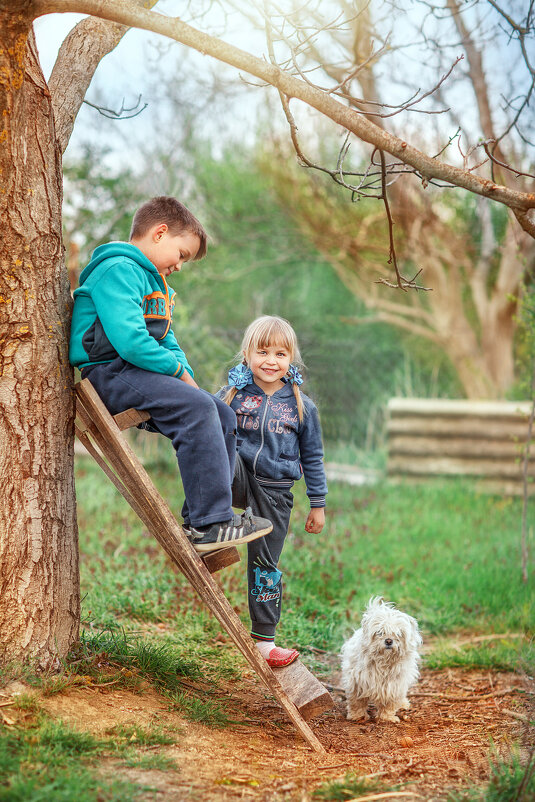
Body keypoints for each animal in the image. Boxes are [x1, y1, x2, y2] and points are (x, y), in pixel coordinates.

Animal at [344, 592, 422, 720]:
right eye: (379, 632)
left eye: (398, 634)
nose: (389, 641)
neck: (384, 662)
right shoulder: (357, 682)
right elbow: (357, 702)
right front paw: (357, 716)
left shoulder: (393, 686)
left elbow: (389, 703)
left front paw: (387, 718)